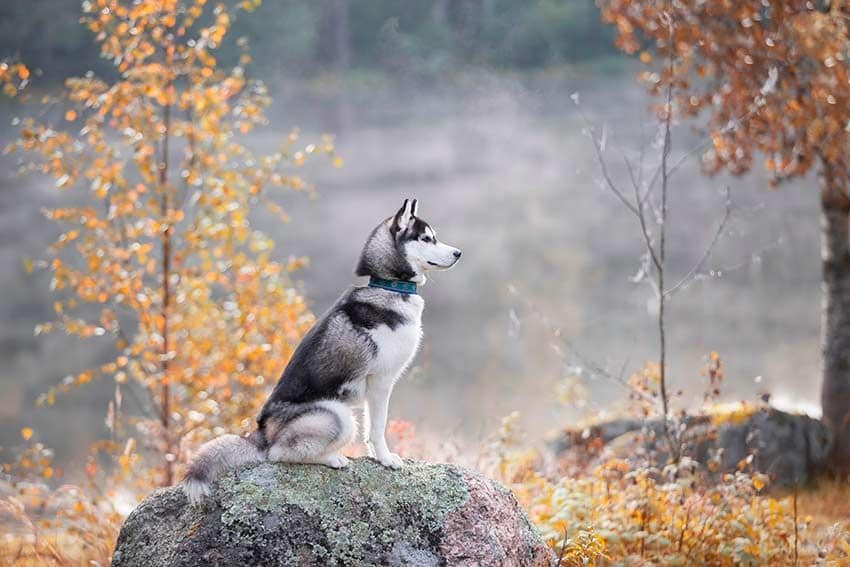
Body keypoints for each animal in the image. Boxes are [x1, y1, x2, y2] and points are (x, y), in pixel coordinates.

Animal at [183, 200, 460, 506]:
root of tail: (260, 433)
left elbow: (370, 430)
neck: (388, 286)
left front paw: (377, 457)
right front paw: (386, 460)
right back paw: (332, 459)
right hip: (338, 416)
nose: (458, 253)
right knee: (277, 454)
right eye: (427, 238)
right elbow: (378, 428)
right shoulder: (381, 380)